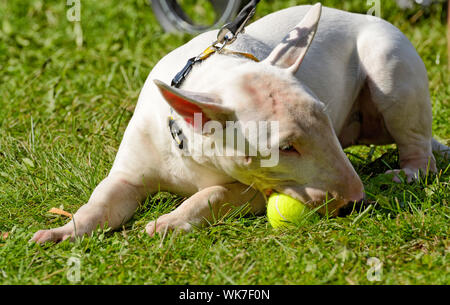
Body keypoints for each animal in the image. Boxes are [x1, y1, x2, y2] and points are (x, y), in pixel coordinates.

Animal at [31, 2, 446, 242]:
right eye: (284, 148)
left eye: (326, 121)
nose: (357, 202)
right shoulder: (131, 170)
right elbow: (102, 200)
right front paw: (61, 232)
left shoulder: (255, 188)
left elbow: (214, 194)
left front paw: (168, 223)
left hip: (388, 62)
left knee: (416, 144)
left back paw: (406, 173)